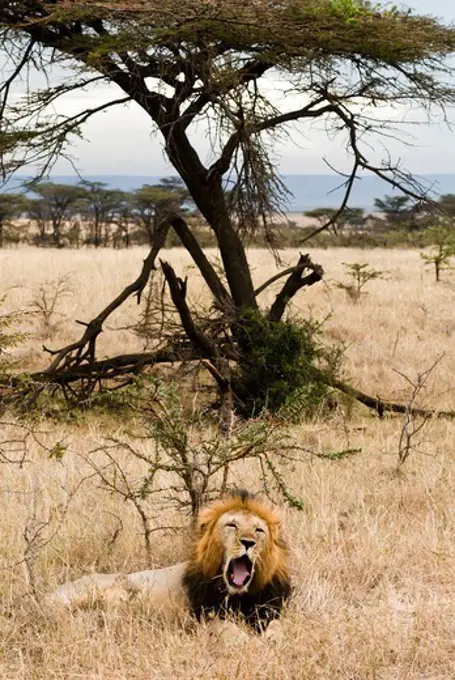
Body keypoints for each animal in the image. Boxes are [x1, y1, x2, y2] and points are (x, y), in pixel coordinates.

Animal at [46, 492, 292, 636]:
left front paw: (272, 641)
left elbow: (278, 628)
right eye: (232, 525)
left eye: (259, 530)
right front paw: (244, 642)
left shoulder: (269, 610)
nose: (248, 542)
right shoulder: (204, 616)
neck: (240, 596)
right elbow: (228, 630)